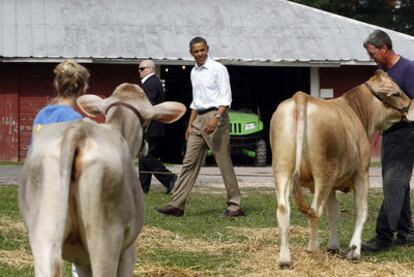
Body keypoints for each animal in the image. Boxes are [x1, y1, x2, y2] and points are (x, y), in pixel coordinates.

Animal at [268, 70, 414, 268]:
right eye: (397, 93)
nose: (412, 108)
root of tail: (301, 96)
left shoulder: (332, 185)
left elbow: (334, 214)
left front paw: (333, 246)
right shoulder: (362, 174)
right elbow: (362, 210)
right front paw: (354, 250)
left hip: (282, 167)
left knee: (284, 209)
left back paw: (284, 259)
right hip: (324, 172)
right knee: (315, 210)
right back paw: (312, 250)